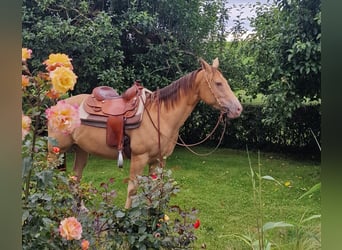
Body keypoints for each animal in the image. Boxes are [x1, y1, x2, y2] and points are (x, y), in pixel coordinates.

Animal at [48, 57, 242, 208]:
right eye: (218, 84)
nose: (238, 109)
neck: (160, 116)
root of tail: (57, 106)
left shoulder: (158, 161)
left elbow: (154, 190)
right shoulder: (139, 158)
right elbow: (132, 190)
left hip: (81, 150)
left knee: (75, 177)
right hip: (55, 151)